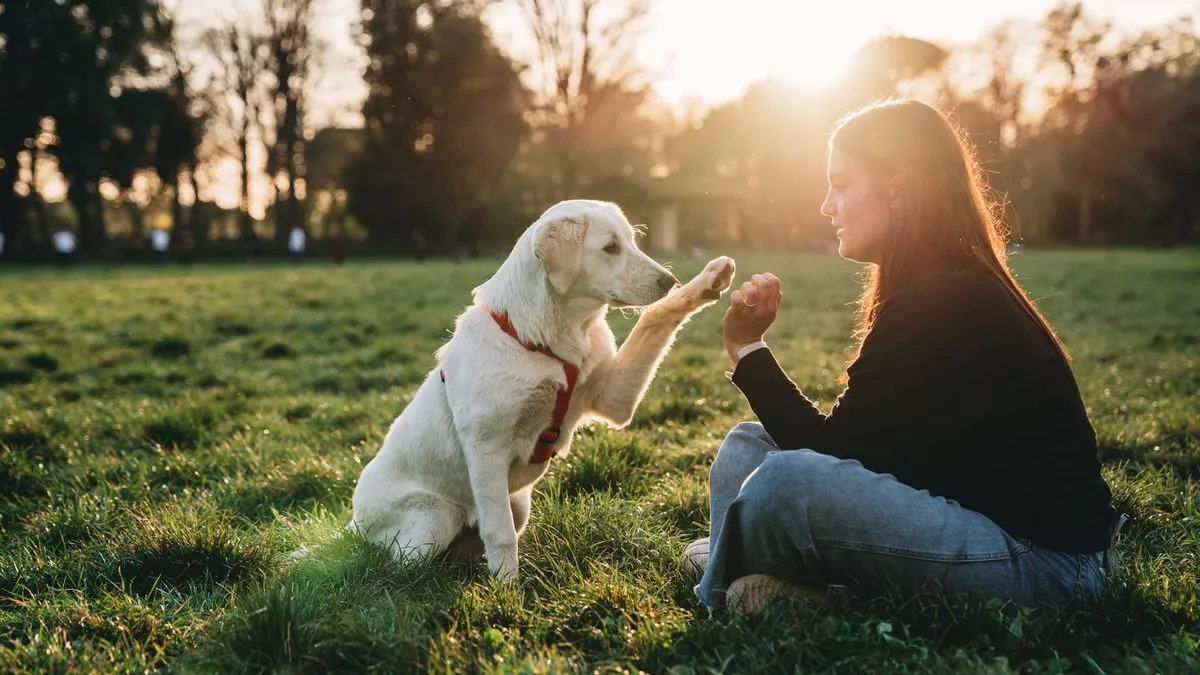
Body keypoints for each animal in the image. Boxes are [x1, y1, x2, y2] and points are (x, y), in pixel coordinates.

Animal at [350, 198, 734, 578]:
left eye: (632, 241)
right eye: (610, 247)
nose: (669, 279)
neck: (547, 342)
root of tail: (352, 521)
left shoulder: (614, 399)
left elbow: (654, 317)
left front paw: (706, 283)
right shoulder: (486, 446)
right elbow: (500, 533)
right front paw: (507, 590)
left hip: (517, 504)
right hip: (435, 518)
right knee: (401, 563)